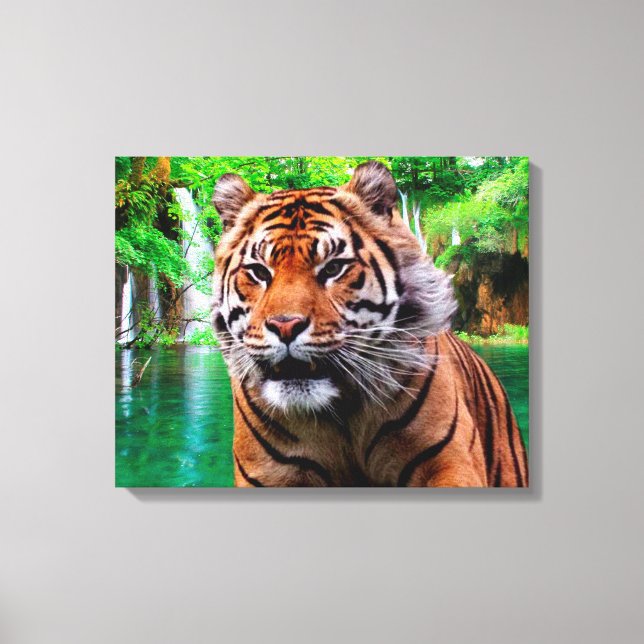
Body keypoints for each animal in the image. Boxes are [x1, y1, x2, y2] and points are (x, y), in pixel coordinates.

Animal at [211, 161, 528, 487]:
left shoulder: (449, 460)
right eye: (259, 272)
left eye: (333, 268)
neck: (339, 417)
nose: (285, 326)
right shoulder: (267, 474)